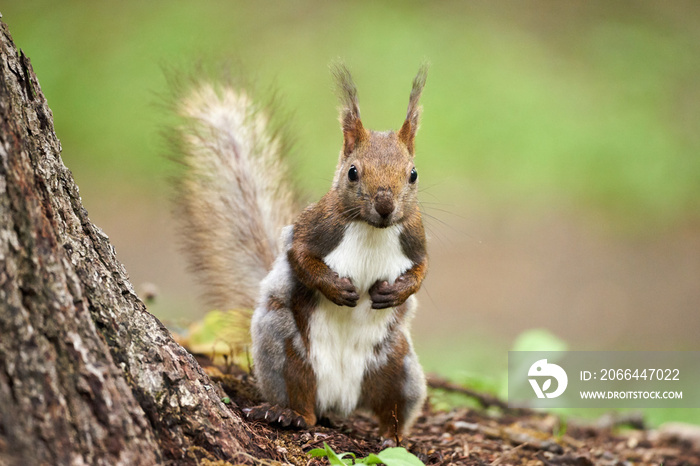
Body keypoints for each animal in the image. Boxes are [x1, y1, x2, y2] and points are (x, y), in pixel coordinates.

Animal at [172, 64, 430, 440]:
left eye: (412, 174)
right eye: (353, 172)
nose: (385, 206)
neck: (373, 229)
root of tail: (340, 400)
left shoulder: (416, 238)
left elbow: (421, 271)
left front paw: (394, 293)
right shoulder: (314, 229)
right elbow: (300, 258)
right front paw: (337, 289)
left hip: (398, 367)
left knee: (394, 406)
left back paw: (391, 436)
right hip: (283, 350)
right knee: (301, 398)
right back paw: (289, 414)